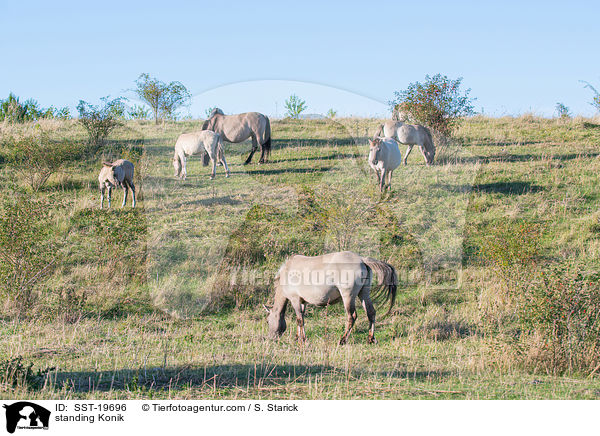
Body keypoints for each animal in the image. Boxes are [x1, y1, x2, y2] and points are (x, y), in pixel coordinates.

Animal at [264, 250, 396, 346]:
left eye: (267, 321)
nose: (270, 339)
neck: (287, 271)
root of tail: (362, 260)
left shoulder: (295, 299)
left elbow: (300, 320)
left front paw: (303, 340)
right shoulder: (302, 302)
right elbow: (301, 318)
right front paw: (298, 337)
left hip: (348, 297)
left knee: (352, 317)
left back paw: (343, 340)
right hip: (364, 294)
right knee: (371, 313)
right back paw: (371, 339)